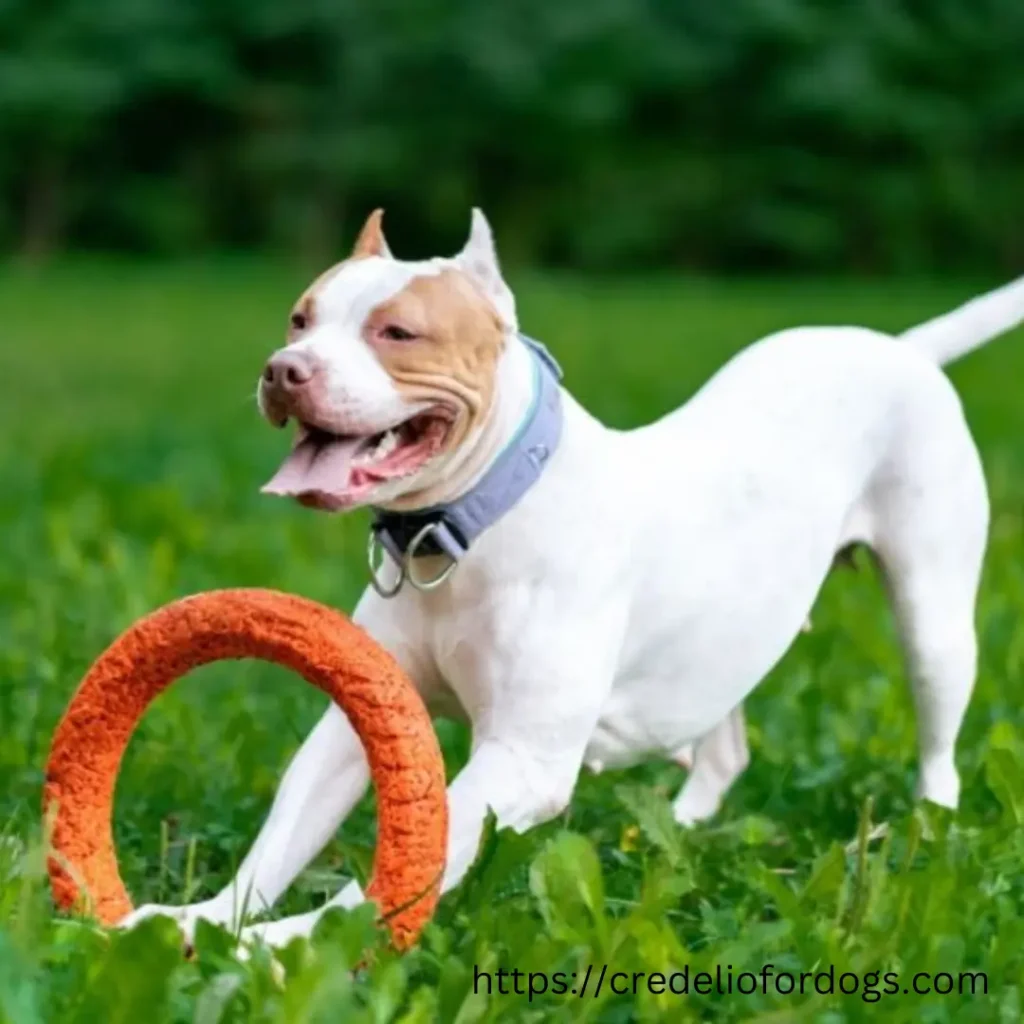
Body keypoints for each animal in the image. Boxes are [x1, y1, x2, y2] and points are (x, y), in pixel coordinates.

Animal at [125, 209, 1024, 950]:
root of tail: (900, 349)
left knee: (936, 733)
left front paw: (288, 944)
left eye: (399, 332)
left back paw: (927, 828)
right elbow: (283, 835)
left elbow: (410, 865)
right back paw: (680, 830)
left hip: (933, 620)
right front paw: (203, 920)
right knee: (724, 742)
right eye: (300, 318)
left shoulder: (522, 760)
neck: (465, 529)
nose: (285, 369)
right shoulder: (358, 721)